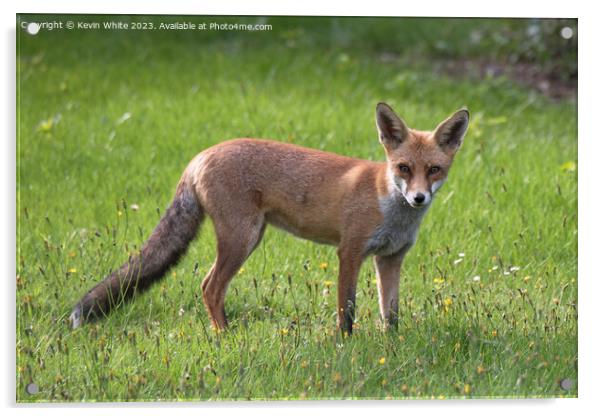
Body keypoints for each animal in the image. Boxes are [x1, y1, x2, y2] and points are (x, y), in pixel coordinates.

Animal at [69, 104, 464, 334]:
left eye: (434, 170)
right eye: (403, 168)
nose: (418, 198)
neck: (390, 205)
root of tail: (200, 155)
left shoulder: (390, 259)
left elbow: (390, 314)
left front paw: (392, 346)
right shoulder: (350, 252)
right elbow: (347, 310)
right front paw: (347, 346)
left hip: (250, 236)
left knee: (209, 286)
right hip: (242, 239)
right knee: (210, 287)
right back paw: (225, 338)